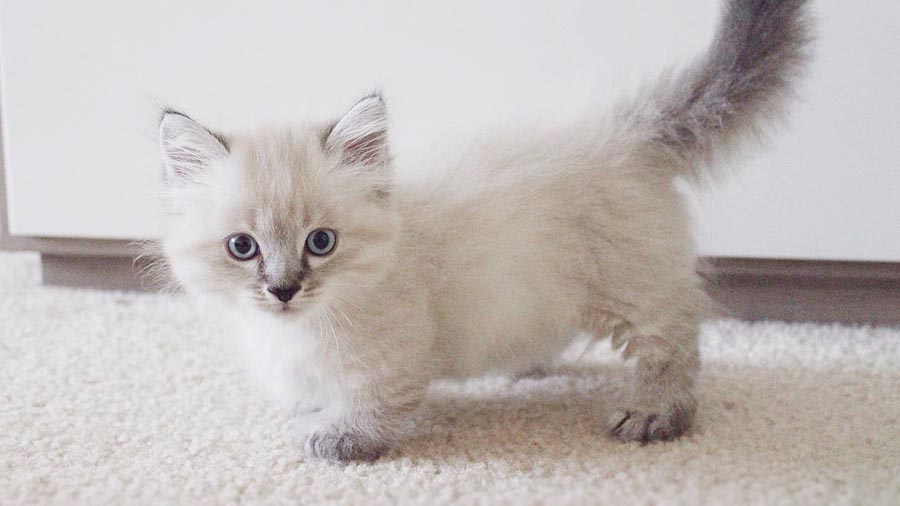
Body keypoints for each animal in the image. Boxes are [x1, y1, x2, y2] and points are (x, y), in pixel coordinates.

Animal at [156, 0, 816, 460]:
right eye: (243, 248)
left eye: (320, 243)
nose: (283, 289)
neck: (300, 331)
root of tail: (622, 129)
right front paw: (312, 411)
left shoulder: (392, 356)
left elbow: (371, 403)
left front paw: (339, 437)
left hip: (632, 288)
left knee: (673, 343)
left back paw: (655, 416)